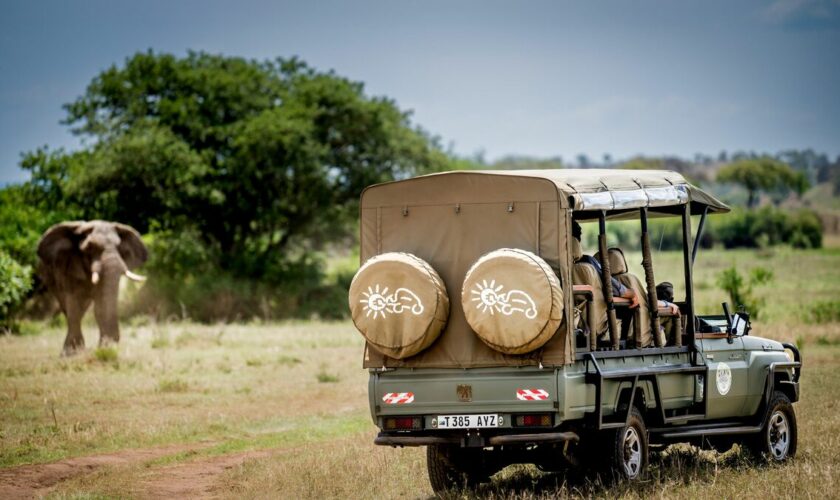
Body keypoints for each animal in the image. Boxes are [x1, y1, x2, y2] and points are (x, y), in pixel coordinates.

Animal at [37, 220, 148, 356]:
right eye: (90, 248)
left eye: (119, 247)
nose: (114, 341)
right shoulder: (69, 266)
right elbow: (73, 304)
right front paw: (71, 353)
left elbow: (100, 305)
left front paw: (106, 348)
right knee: (67, 307)